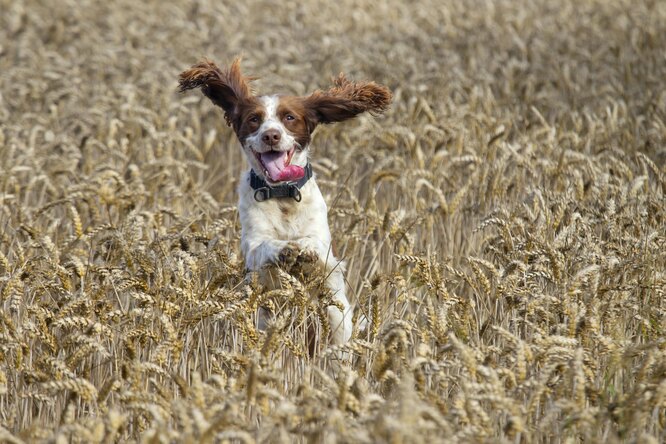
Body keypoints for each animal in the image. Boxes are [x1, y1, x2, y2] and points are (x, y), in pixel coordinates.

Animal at [179, 57, 392, 346]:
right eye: (254, 119)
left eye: (289, 117)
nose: (271, 135)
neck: (283, 195)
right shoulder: (253, 244)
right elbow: (265, 246)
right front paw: (284, 249)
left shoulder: (324, 245)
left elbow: (314, 244)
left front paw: (303, 248)